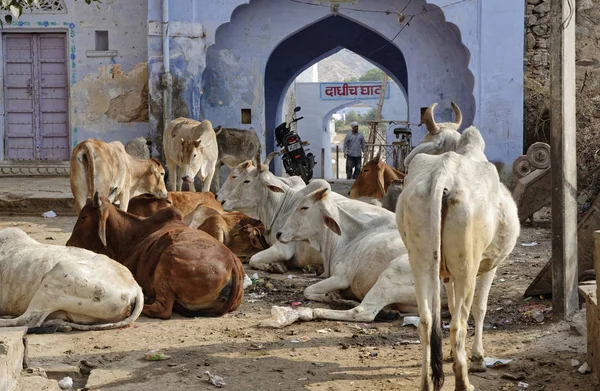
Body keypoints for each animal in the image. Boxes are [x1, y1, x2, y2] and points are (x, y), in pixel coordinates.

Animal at [65, 191, 244, 320]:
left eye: (83, 217)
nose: (68, 243)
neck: (131, 235)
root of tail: (233, 265)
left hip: (168, 259)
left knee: (162, 310)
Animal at [258, 180, 432, 328]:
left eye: (304, 207)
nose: (279, 234)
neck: (346, 238)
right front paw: (333, 295)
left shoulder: (340, 278)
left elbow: (307, 291)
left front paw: (330, 296)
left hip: (391, 275)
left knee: (362, 312)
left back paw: (316, 312)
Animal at [396, 102, 516, 391]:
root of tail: (444, 175)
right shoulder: (489, 266)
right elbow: (481, 309)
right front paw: (478, 358)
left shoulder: (446, 273)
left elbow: (448, 307)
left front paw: (452, 354)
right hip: (467, 267)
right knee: (459, 323)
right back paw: (464, 381)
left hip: (420, 263)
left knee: (427, 320)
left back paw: (426, 382)